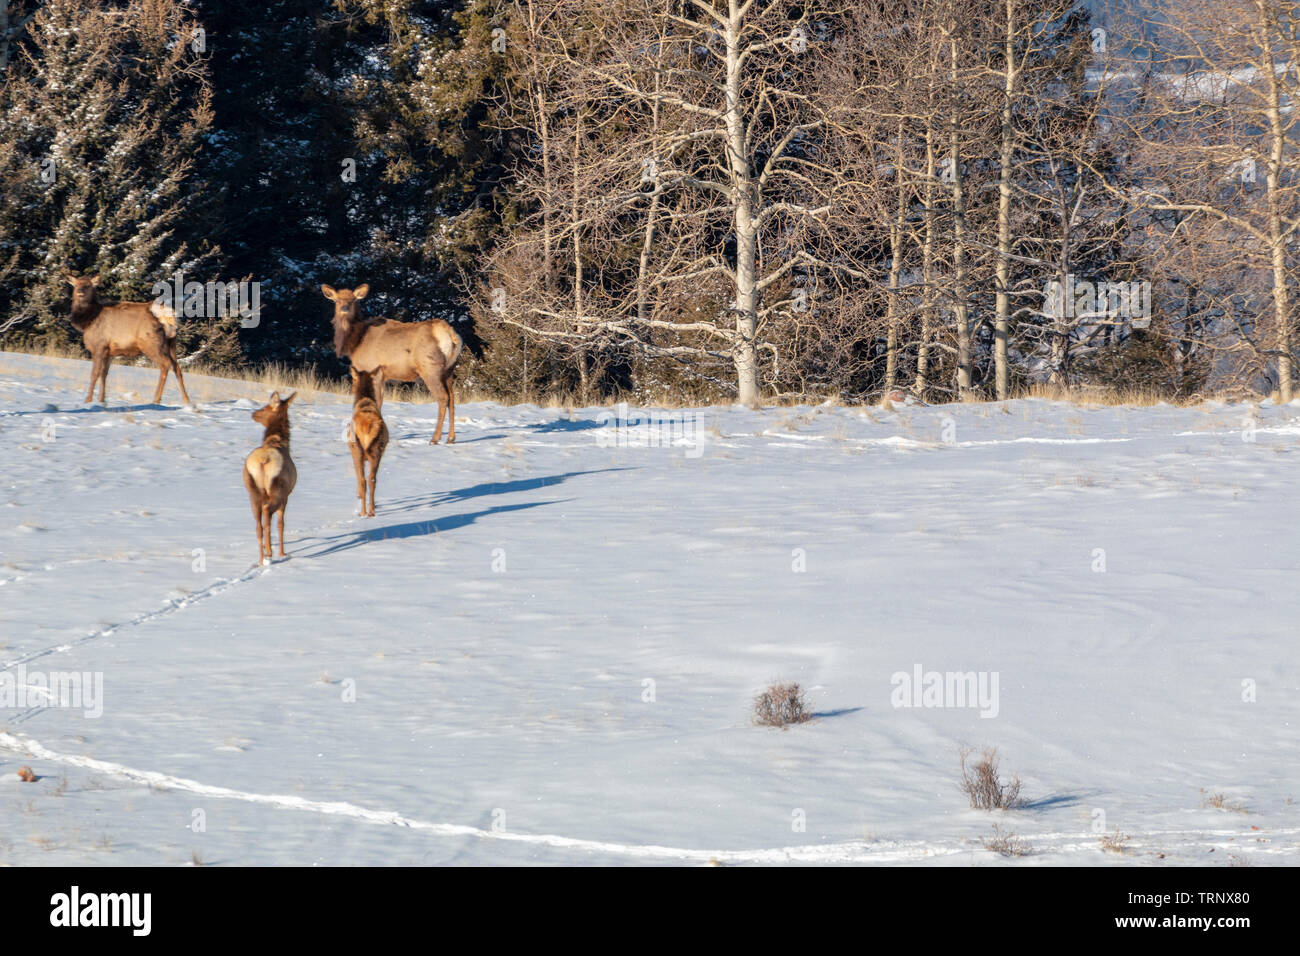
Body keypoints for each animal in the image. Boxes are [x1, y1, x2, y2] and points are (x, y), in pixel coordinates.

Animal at [64, 273, 189, 408]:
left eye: (88, 285)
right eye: (76, 285)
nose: (80, 292)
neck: (89, 320)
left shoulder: (99, 346)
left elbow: (94, 374)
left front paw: (88, 400)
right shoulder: (109, 352)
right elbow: (104, 374)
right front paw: (102, 400)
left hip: (150, 344)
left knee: (165, 364)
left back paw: (156, 400)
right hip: (171, 343)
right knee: (177, 368)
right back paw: (186, 401)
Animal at [241, 390, 297, 564]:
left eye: (265, 408)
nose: (253, 413)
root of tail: (262, 461)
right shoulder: (287, 495)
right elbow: (281, 523)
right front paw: (283, 553)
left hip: (252, 490)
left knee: (258, 524)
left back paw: (262, 559)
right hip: (278, 489)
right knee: (268, 514)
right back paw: (270, 553)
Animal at [319, 283, 462, 444]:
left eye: (353, 300)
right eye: (337, 300)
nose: (344, 308)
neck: (355, 341)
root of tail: (450, 335)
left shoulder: (370, 369)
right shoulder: (382, 375)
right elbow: (379, 402)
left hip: (430, 368)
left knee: (443, 398)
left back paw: (435, 438)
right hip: (449, 370)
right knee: (452, 398)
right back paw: (451, 438)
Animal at [345, 366, 384, 515]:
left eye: (353, 380)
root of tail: (367, 426)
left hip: (356, 450)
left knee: (363, 480)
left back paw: (363, 512)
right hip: (377, 450)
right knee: (372, 478)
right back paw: (372, 511)